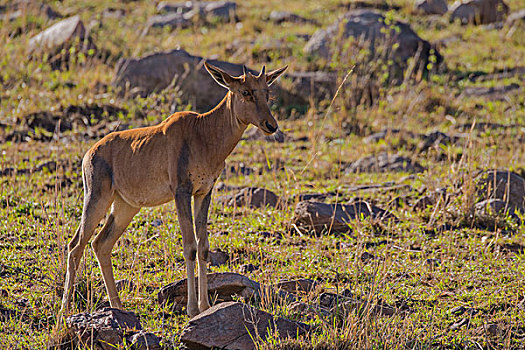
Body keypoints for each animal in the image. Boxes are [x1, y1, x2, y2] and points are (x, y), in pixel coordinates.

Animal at [60, 62, 286, 318]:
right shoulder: (182, 192)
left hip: (126, 206)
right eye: (245, 92)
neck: (202, 131)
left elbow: (203, 246)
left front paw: (205, 307)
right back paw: (65, 310)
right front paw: (192, 309)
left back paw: (118, 307)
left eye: (267, 92)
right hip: (96, 198)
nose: (271, 126)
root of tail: (91, 152)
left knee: (101, 244)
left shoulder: (203, 193)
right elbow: (189, 246)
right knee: (76, 245)